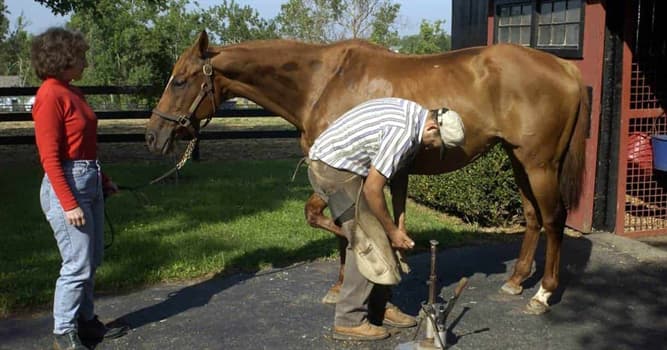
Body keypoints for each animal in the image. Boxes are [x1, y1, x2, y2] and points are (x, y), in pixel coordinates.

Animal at [146, 30, 588, 314]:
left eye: (180, 80)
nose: (153, 136)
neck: (321, 81)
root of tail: (566, 69)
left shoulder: (347, 171)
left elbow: (333, 222)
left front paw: (382, 265)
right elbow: (333, 224)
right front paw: (351, 279)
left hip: (539, 163)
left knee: (553, 219)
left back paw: (542, 294)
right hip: (517, 158)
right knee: (532, 217)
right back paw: (516, 280)